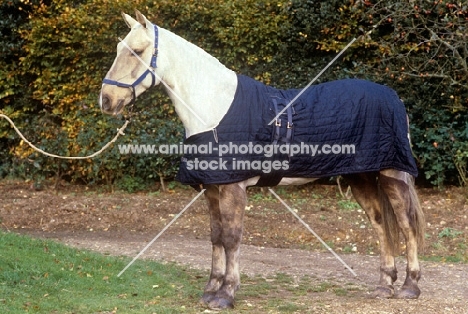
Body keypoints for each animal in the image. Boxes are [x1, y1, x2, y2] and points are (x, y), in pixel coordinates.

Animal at [100, 11, 426, 310]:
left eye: (137, 50)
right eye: (118, 49)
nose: (106, 100)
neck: (214, 109)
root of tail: (393, 98)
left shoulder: (233, 188)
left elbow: (231, 238)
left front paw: (226, 294)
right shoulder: (212, 188)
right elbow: (216, 236)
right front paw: (211, 289)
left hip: (392, 174)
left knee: (406, 225)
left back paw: (409, 286)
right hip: (360, 177)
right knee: (381, 225)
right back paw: (384, 285)